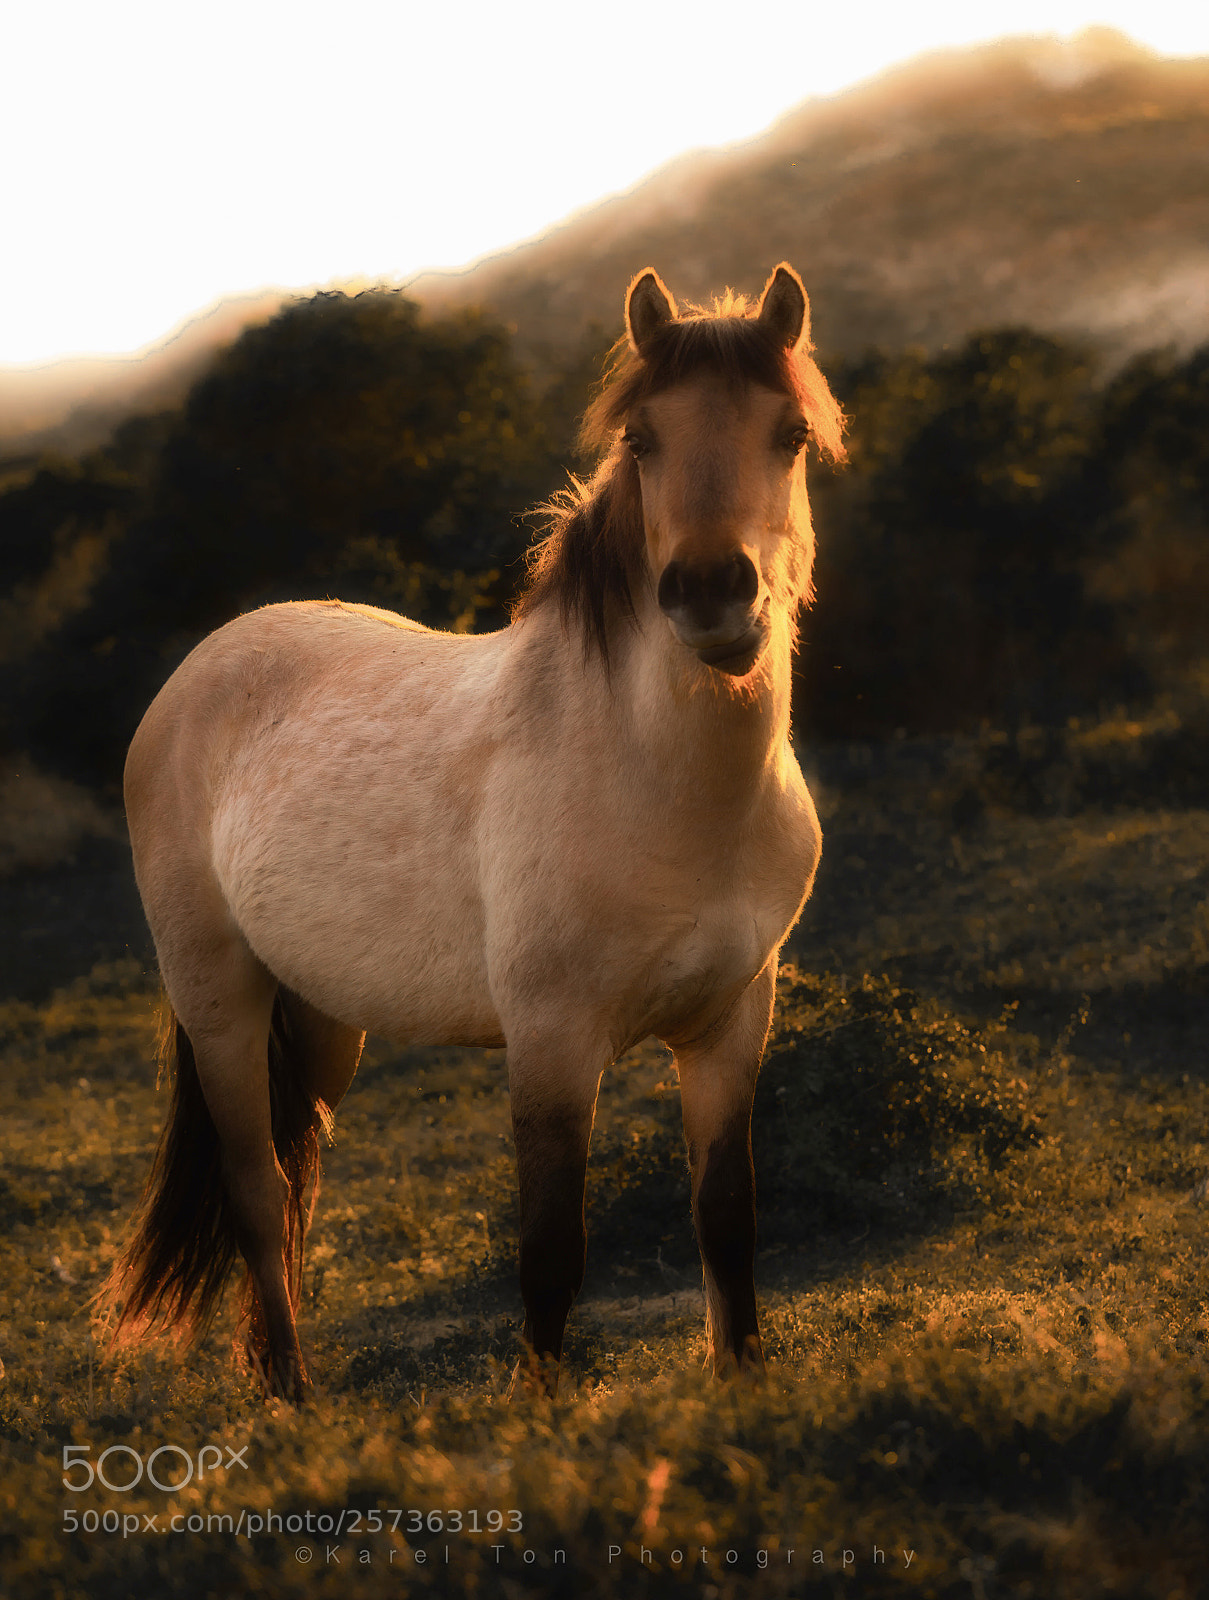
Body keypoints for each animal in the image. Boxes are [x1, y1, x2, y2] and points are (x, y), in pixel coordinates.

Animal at [101, 262, 847, 1400]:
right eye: (643, 441)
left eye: (790, 433)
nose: (713, 596)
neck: (656, 784)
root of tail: (199, 670)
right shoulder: (551, 1039)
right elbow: (549, 1251)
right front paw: (539, 1413)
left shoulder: (731, 1023)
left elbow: (727, 1220)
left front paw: (740, 1387)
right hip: (220, 998)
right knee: (257, 1192)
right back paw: (291, 1398)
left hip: (321, 1020)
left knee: (292, 1184)